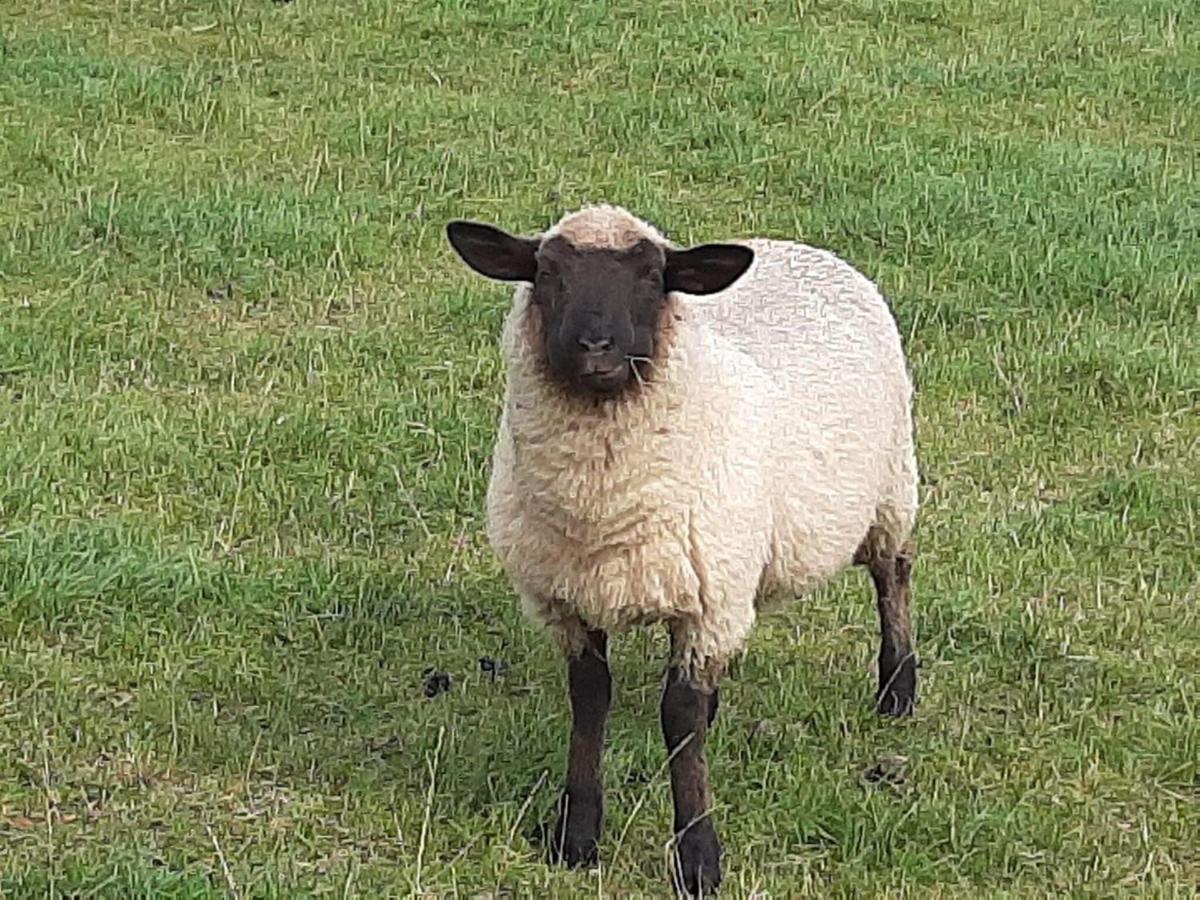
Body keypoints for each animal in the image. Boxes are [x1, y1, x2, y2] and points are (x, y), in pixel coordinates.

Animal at [446, 206, 921, 900]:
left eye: (651, 276)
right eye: (547, 273)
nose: (596, 348)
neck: (603, 509)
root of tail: (797, 245)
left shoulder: (706, 604)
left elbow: (679, 720)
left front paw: (698, 858)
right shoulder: (568, 601)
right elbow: (591, 701)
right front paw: (576, 837)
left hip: (889, 489)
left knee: (893, 575)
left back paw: (898, 688)